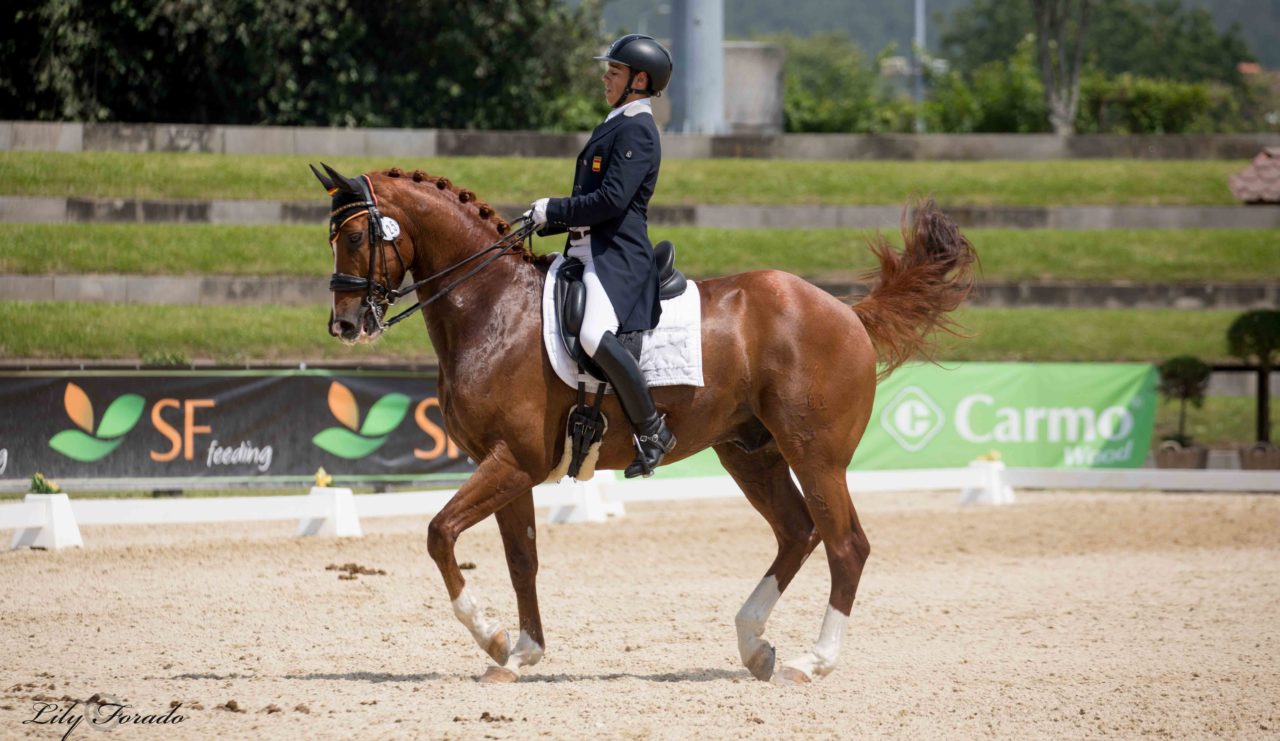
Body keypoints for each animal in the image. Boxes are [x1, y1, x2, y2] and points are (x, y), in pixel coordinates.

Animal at [314, 162, 972, 685]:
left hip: (816, 455)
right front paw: (521, 652)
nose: (344, 325)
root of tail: (848, 312)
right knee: (797, 531)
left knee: (846, 545)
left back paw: (811, 662)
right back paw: (753, 644)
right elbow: (521, 557)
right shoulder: (506, 466)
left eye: (356, 235)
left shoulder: (513, 461)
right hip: (749, 452)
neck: (490, 306)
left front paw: (493, 637)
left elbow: (439, 533)